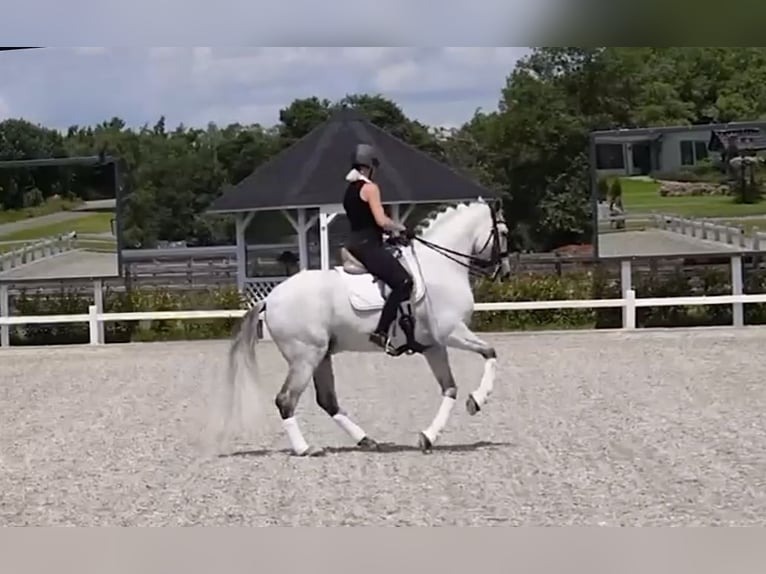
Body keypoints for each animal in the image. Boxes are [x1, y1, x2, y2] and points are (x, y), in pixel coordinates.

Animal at [221, 197, 511, 456]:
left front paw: (429, 437)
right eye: (504, 233)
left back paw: (366, 440)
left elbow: (450, 388)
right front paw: (477, 401)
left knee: (327, 401)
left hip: (322, 355)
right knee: (286, 400)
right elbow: (491, 352)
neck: (439, 266)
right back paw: (306, 449)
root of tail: (269, 299)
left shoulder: (433, 346)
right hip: (305, 357)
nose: (505, 273)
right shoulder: (451, 332)